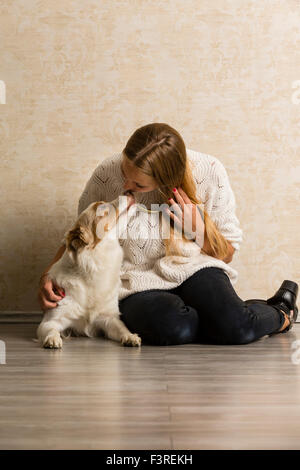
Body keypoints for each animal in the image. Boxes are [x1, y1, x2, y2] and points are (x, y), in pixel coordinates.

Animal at [36, 192, 142, 348]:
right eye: (102, 207)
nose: (129, 191)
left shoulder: (108, 318)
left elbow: (122, 328)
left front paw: (130, 337)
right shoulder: (51, 320)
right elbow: (51, 329)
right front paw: (52, 339)